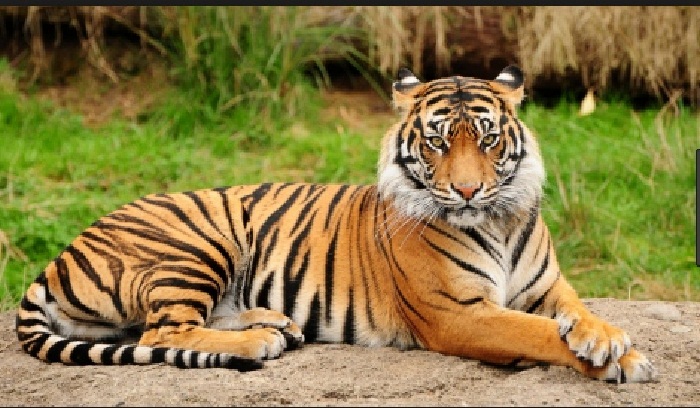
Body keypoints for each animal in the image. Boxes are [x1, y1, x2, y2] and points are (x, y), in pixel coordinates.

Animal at [15, 65, 656, 382]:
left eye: (488, 138)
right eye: (437, 142)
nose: (468, 189)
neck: (496, 221)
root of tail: (61, 253)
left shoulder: (549, 287)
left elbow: (577, 315)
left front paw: (609, 341)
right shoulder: (459, 314)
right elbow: (536, 333)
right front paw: (617, 359)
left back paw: (276, 324)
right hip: (198, 241)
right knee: (159, 333)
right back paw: (259, 340)